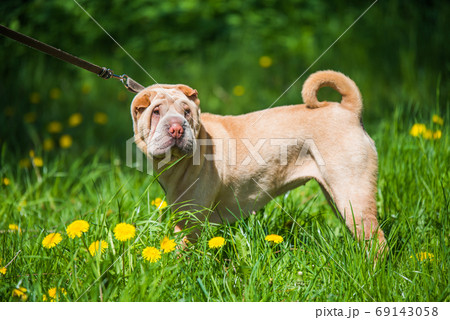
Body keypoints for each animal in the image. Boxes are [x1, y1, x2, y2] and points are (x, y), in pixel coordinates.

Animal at [129, 70, 386, 255]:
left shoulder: (192, 221)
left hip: (352, 193)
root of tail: (348, 109)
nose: (176, 128)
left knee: (377, 240)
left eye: (187, 112)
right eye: (156, 112)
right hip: (337, 197)